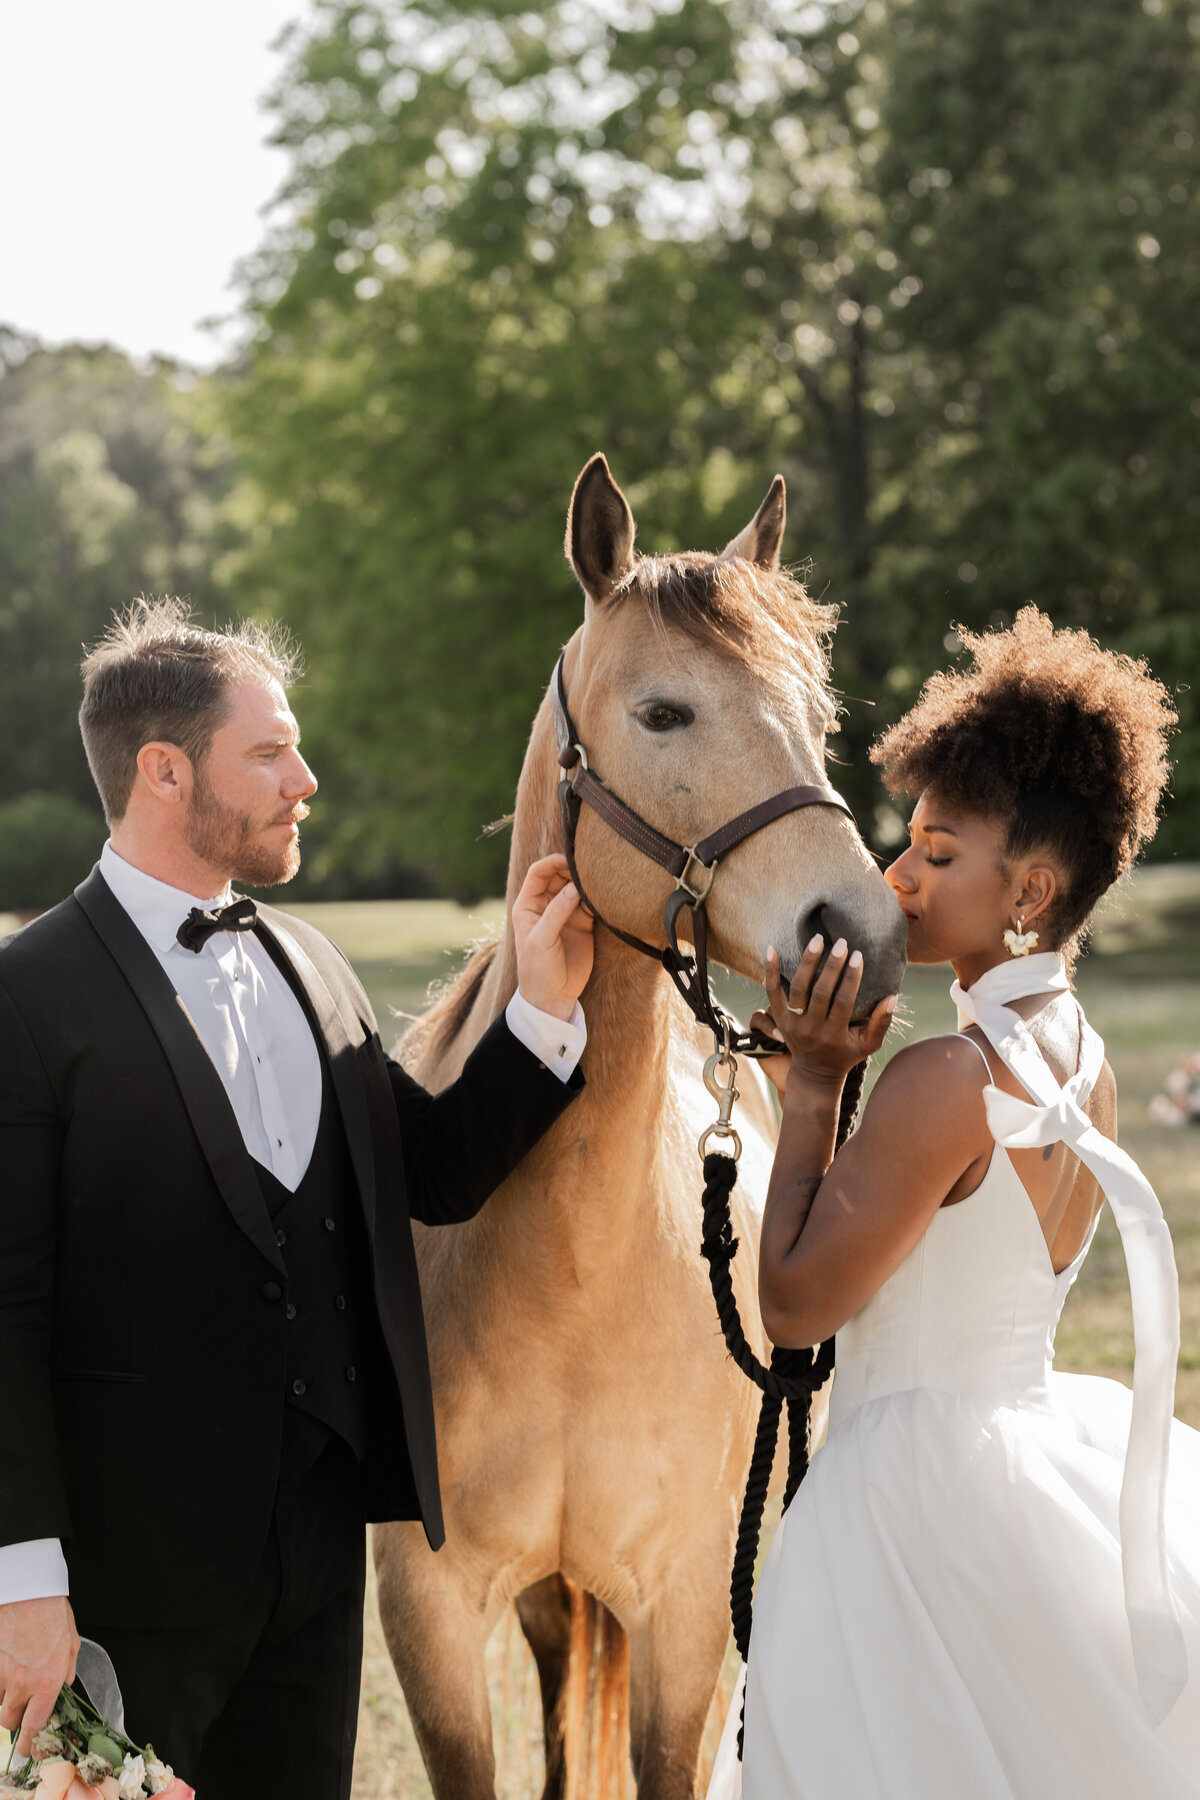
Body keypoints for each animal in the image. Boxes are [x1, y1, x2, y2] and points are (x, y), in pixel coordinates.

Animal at [379, 460, 906, 1800]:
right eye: (666, 712)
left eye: (816, 709)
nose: (868, 937)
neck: (571, 1270)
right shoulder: (433, 1613)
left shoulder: (687, 1607)